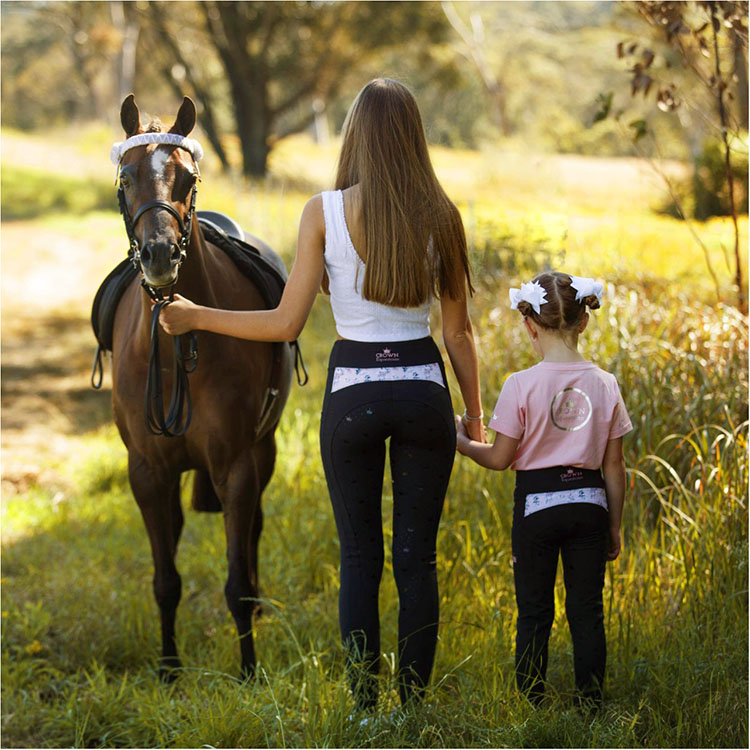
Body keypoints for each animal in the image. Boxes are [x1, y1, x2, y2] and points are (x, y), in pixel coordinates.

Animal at [109, 94, 293, 681]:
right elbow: (165, 580)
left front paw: (249, 671)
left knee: (254, 532)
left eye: (187, 178)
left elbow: (237, 582)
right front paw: (169, 669)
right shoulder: (147, 472)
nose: (159, 255)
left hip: (264, 451)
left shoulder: (236, 465)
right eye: (126, 177)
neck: (175, 344)